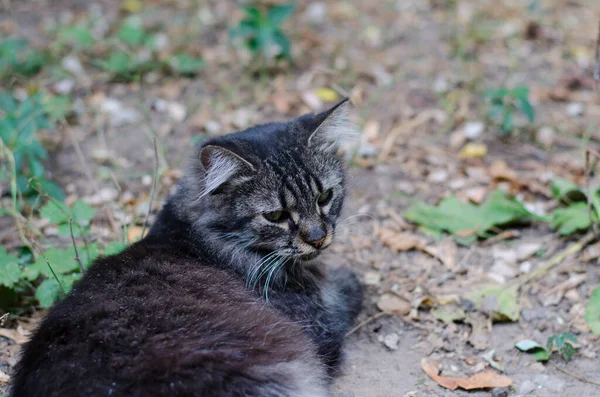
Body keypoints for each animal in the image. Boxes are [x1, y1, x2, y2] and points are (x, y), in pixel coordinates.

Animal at [11, 97, 364, 394]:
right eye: (275, 215)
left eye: (324, 197)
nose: (318, 236)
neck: (198, 239)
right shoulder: (322, 327)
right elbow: (350, 290)